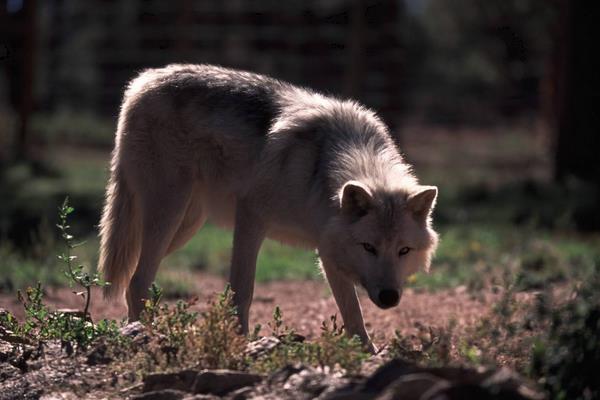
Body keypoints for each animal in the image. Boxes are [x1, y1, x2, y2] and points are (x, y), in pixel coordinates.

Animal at [97, 62, 436, 350]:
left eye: (404, 250)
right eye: (368, 247)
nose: (389, 297)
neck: (320, 170)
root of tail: (143, 81)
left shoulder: (327, 248)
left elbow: (352, 312)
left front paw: (367, 353)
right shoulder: (250, 218)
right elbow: (242, 290)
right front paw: (239, 343)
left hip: (184, 227)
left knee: (133, 278)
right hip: (169, 215)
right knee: (137, 282)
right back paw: (142, 337)